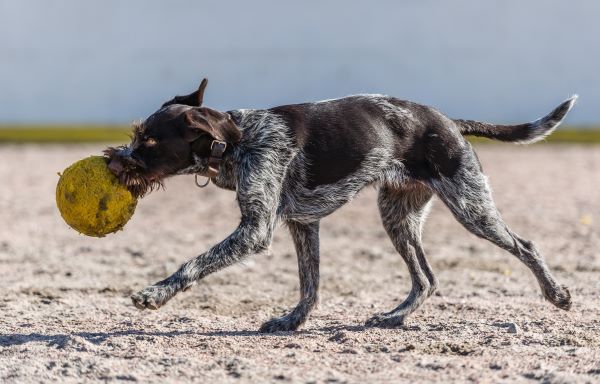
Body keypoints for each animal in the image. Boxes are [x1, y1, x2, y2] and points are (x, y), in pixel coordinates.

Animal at [106, 79, 576, 332]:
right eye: (136, 135)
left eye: (149, 141)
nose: (112, 160)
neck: (240, 139)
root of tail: (449, 122)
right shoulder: (302, 223)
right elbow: (309, 284)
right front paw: (291, 322)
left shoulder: (255, 230)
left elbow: (193, 264)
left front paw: (155, 293)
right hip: (398, 217)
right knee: (426, 278)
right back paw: (394, 317)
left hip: (471, 206)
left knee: (526, 246)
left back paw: (557, 294)